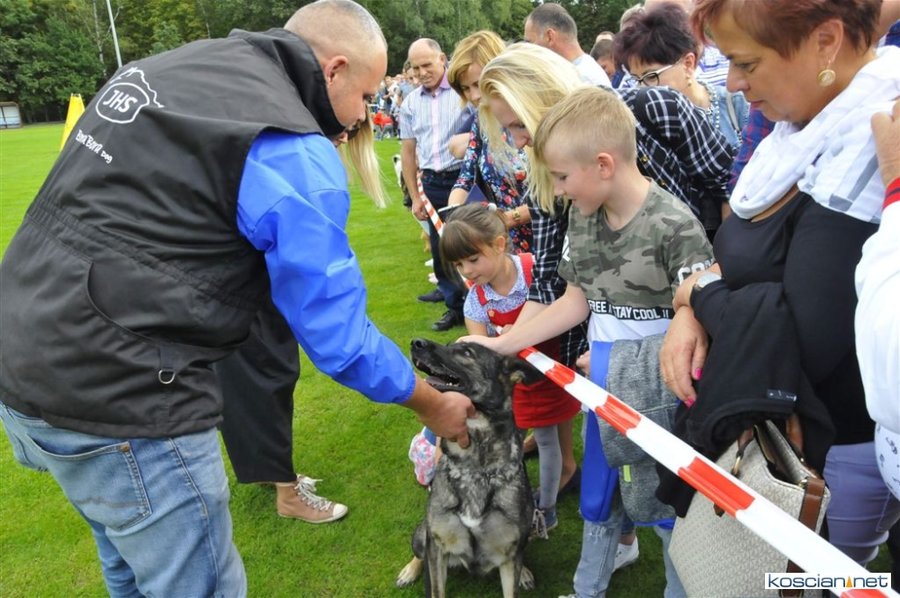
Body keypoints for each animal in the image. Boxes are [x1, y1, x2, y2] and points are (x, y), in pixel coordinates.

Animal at [396, 338, 542, 597]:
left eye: (466, 352)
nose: (416, 342)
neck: (476, 469)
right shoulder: (437, 549)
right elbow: (434, 587)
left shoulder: (509, 555)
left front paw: (522, 574)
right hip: (422, 533)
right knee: (420, 552)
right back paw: (409, 570)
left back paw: (525, 571)